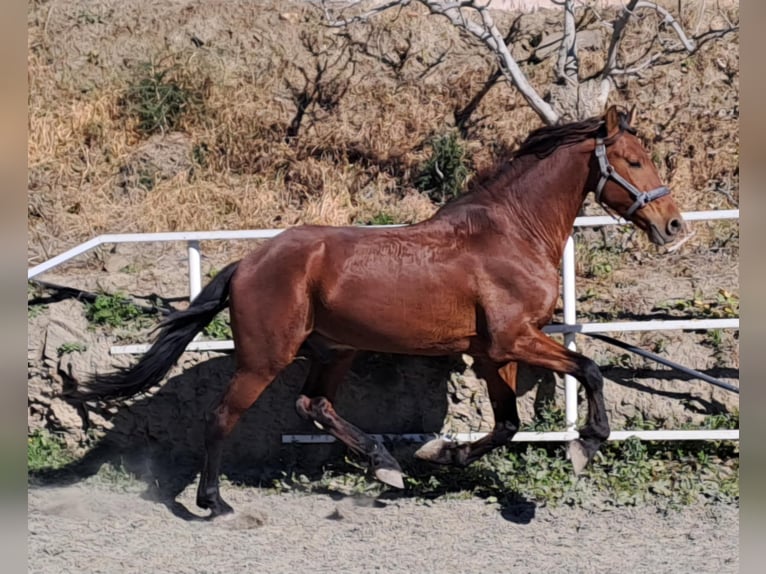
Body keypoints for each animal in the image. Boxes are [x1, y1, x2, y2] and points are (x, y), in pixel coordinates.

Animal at [74, 106, 684, 517]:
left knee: (313, 404)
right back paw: (214, 502)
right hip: (264, 358)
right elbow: (591, 369)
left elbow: (507, 424)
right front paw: (585, 446)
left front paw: (441, 455)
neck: (512, 233)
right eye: (634, 160)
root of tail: (248, 261)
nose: (673, 225)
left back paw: (385, 465)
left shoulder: (494, 352)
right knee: (223, 416)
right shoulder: (514, 339)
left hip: (335, 350)